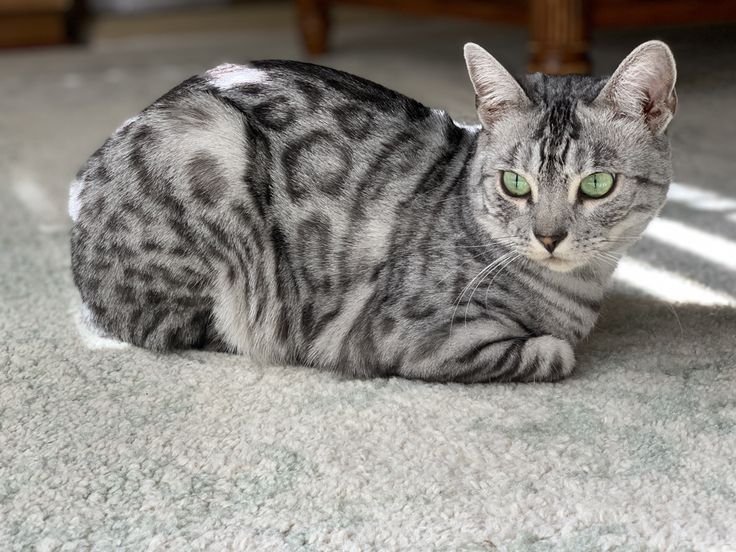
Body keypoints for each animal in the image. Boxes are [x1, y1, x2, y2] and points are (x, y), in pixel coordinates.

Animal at [70, 40, 680, 384]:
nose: (549, 237)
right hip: (210, 152)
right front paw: (554, 344)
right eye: (514, 184)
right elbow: (553, 353)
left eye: (597, 184)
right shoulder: (415, 335)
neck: (579, 292)